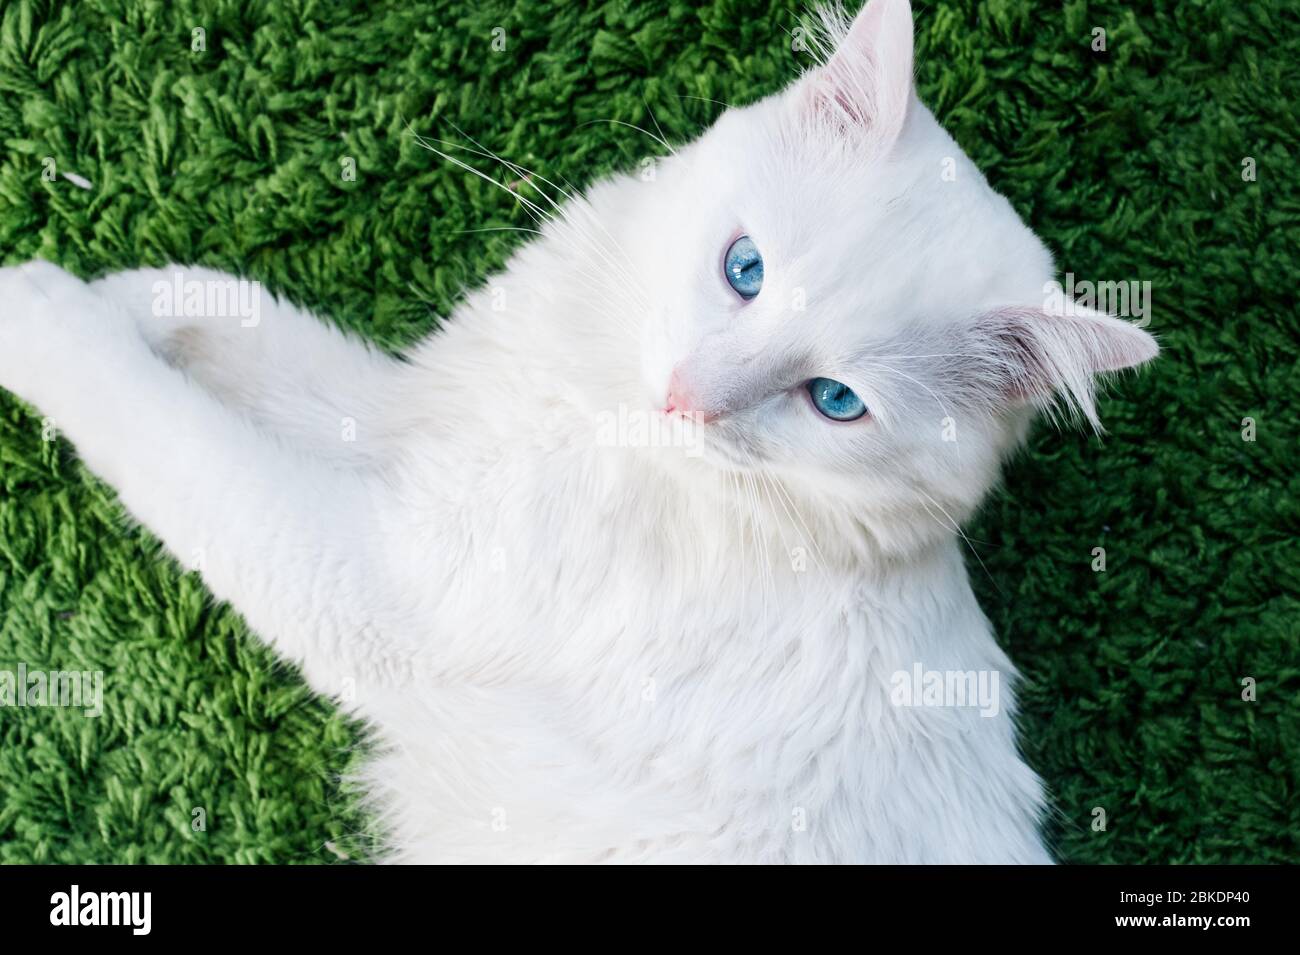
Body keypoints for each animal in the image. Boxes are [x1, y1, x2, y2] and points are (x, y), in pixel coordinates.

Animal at [0, 0, 1159, 867]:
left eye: (834, 402)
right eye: (745, 270)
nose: (685, 399)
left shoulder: (373, 575)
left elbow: (173, 442)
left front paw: (42, 314)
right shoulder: (411, 430)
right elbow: (251, 330)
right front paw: (136, 297)